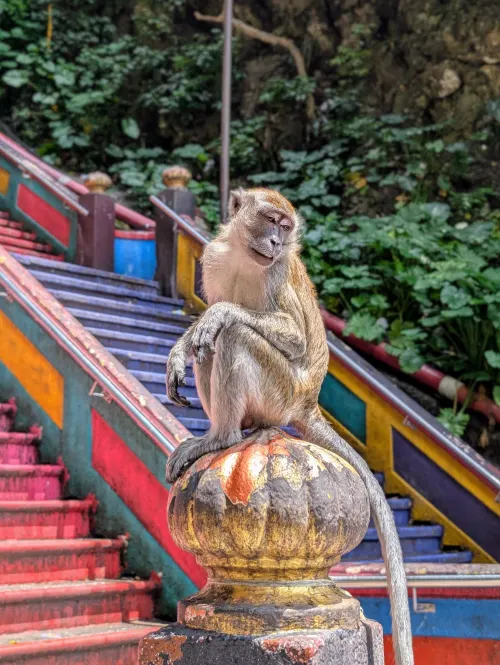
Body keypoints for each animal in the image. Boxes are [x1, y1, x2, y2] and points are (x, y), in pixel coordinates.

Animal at [165, 187, 413, 665]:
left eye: (286, 227)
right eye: (270, 220)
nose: (278, 242)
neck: (244, 254)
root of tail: (307, 403)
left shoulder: (278, 273)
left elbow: (279, 332)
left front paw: (215, 317)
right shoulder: (213, 258)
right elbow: (205, 320)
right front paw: (180, 348)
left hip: (280, 391)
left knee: (233, 335)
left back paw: (220, 438)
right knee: (214, 346)